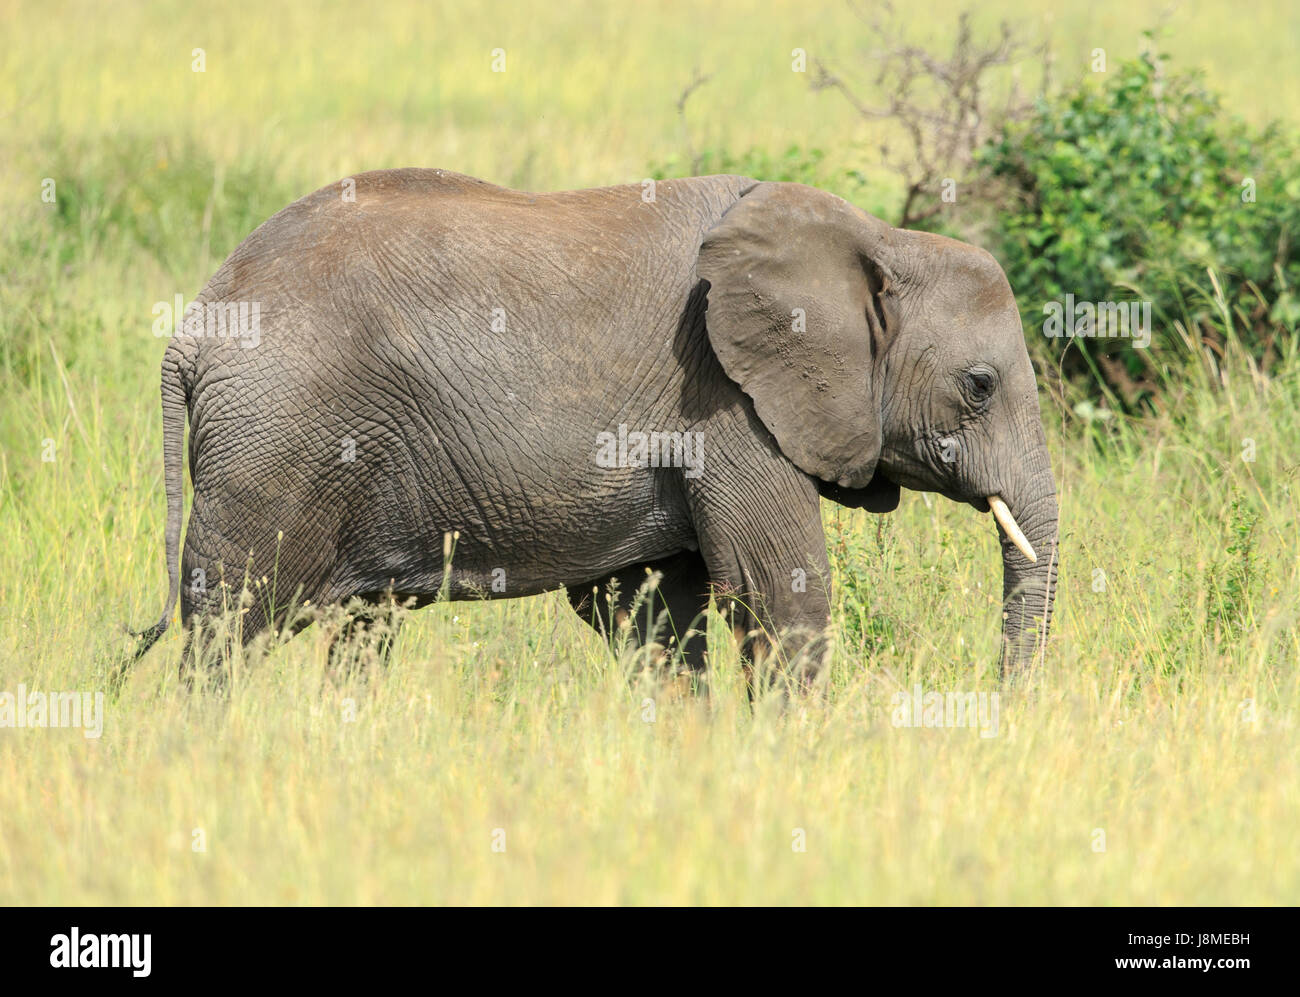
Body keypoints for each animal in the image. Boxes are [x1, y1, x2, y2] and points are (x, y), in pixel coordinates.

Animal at [134, 174, 1055, 686]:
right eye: (978, 387)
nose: (1005, 702)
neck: (873, 237)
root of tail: (193, 328)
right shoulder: (727, 401)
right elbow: (775, 589)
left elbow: (652, 615)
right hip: (277, 443)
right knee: (228, 624)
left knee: (362, 630)